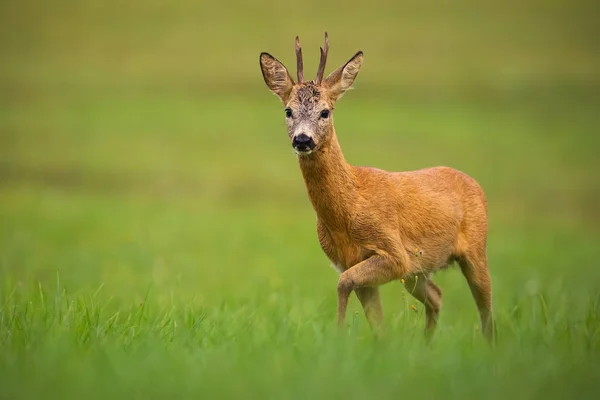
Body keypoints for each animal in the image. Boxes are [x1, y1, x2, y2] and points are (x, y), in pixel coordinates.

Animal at [260, 32, 494, 340]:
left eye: (325, 112)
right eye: (288, 111)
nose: (302, 140)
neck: (347, 211)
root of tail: (474, 183)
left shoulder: (394, 252)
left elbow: (344, 283)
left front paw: (337, 334)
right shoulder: (353, 261)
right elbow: (374, 319)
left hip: (476, 249)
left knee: (486, 307)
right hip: (418, 272)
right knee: (437, 295)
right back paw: (426, 344)